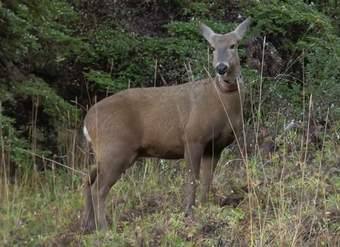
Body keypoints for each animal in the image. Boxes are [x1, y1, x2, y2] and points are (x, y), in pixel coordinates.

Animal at [81, 17, 252, 232]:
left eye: (233, 45)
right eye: (212, 47)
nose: (221, 68)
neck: (222, 103)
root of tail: (87, 122)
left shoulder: (216, 146)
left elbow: (207, 180)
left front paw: (204, 206)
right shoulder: (193, 137)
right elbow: (192, 178)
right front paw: (189, 211)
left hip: (105, 153)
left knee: (88, 179)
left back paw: (87, 225)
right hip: (116, 149)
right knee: (98, 188)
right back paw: (104, 228)